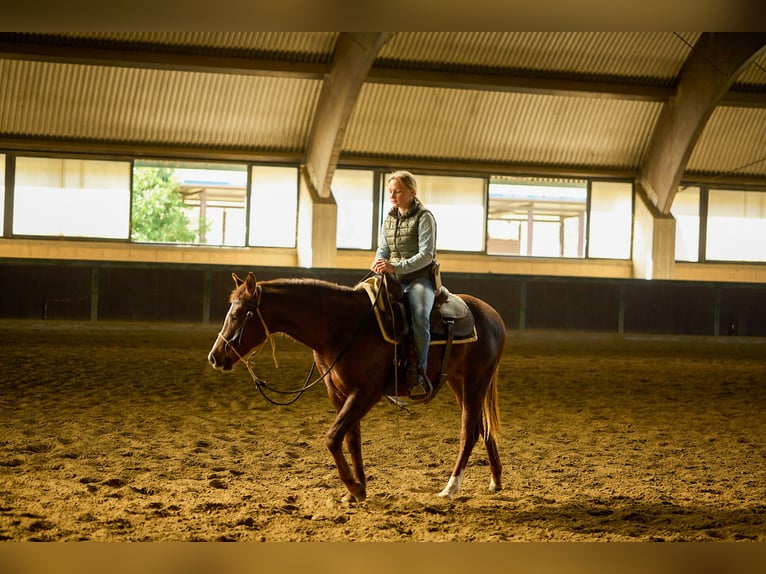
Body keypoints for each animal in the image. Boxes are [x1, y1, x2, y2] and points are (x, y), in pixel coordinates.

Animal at [207, 271, 506, 503]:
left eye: (238, 314)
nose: (215, 356)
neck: (342, 326)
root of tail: (492, 315)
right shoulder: (340, 395)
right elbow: (351, 440)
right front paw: (357, 490)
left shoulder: (366, 393)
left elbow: (332, 438)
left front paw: (353, 486)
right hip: (459, 382)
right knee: (482, 428)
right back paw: (495, 481)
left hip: (476, 380)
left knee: (469, 433)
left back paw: (450, 487)